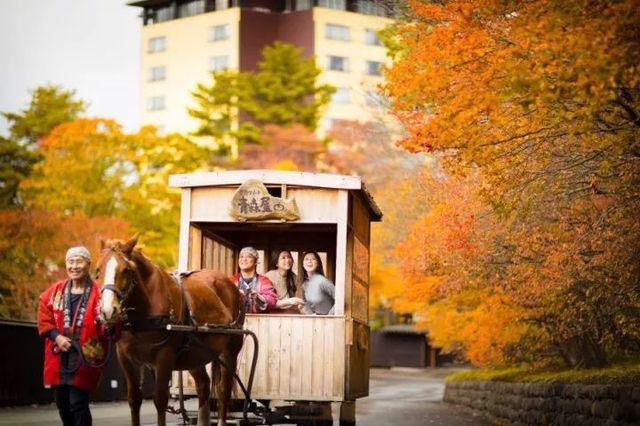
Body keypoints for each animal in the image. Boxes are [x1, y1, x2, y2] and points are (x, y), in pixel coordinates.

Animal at [95, 236, 245, 426]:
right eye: (98, 270)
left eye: (126, 270)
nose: (108, 311)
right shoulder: (126, 358)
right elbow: (134, 400)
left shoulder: (164, 355)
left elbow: (160, 399)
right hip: (195, 353)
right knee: (203, 385)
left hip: (230, 350)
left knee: (224, 390)